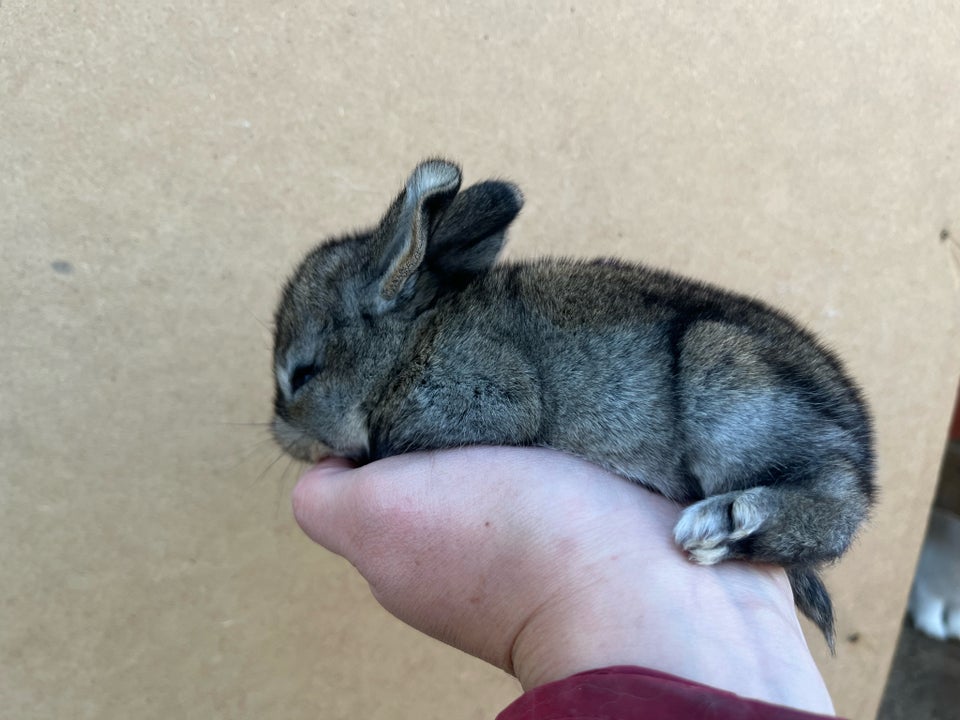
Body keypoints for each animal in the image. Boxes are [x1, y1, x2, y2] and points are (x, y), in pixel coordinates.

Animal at [272, 159, 876, 648]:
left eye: (302, 374)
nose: (285, 440)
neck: (408, 344)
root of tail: (860, 453)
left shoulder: (486, 391)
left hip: (725, 380)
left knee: (834, 508)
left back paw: (725, 523)